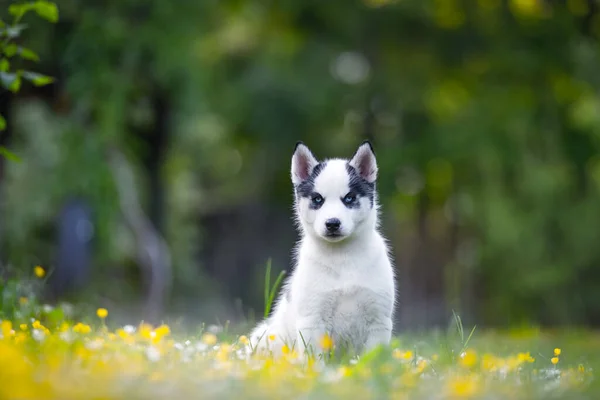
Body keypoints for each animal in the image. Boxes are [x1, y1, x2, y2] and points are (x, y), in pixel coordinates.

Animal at [250, 141, 396, 356]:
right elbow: (315, 358)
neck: (342, 257)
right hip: (265, 336)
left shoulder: (379, 319)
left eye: (349, 198)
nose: (332, 223)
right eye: (318, 199)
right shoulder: (312, 319)